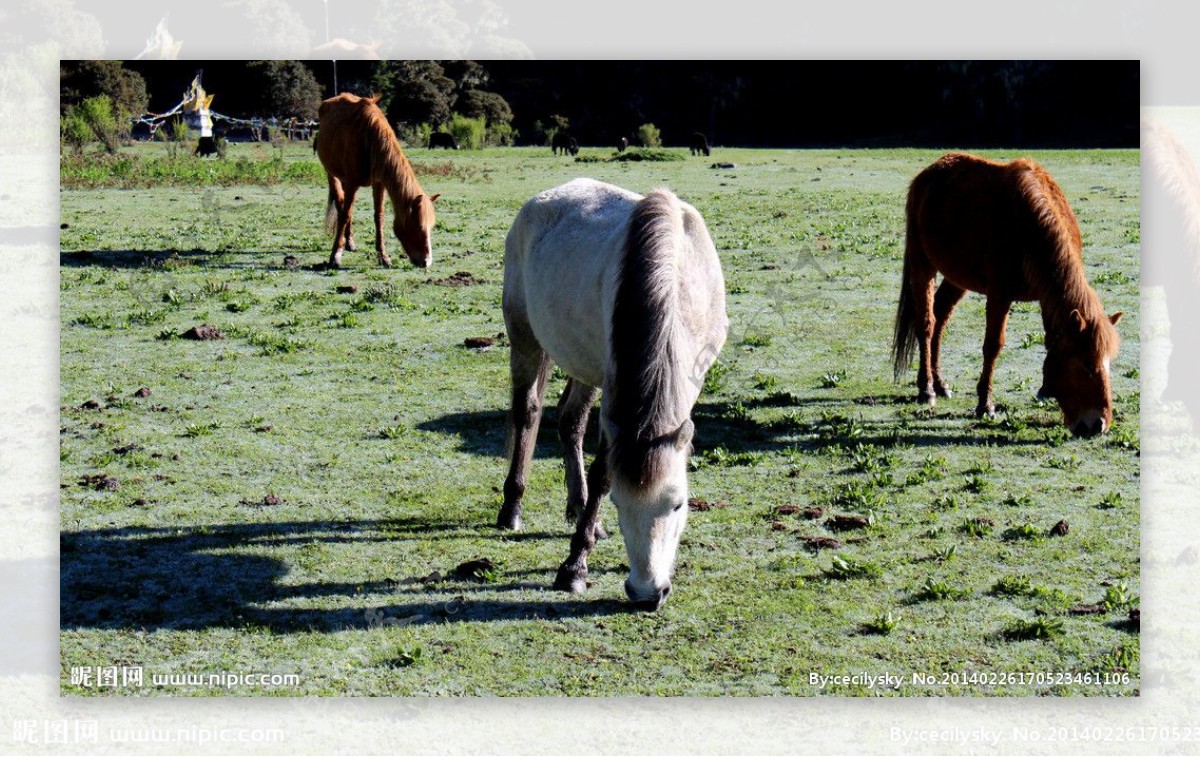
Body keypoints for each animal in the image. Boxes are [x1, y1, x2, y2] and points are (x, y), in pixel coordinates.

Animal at [314, 93, 441, 267]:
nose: (426, 262)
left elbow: (378, 216)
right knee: (341, 205)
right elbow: (345, 215)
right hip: (332, 173)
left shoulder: (379, 183)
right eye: (417, 225)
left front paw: (383, 256)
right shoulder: (352, 182)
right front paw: (335, 255)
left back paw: (350, 242)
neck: (368, 137)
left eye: (431, 226)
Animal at [494, 176, 724, 609]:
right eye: (620, 502)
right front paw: (574, 568)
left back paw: (579, 507)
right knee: (527, 411)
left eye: (678, 503)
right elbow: (603, 474)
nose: (647, 594)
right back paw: (512, 507)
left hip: (586, 365)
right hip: (525, 337)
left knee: (570, 420)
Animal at [897, 152, 1118, 439]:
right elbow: (992, 346)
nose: (1097, 426)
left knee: (940, 316)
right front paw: (985, 404)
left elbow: (1051, 339)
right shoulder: (999, 295)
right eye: (1087, 364)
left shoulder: (1046, 295)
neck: (1028, 226)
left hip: (957, 277)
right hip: (922, 263)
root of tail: (929, 173)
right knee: (926, 323)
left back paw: (941, 383)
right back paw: (927, 388)